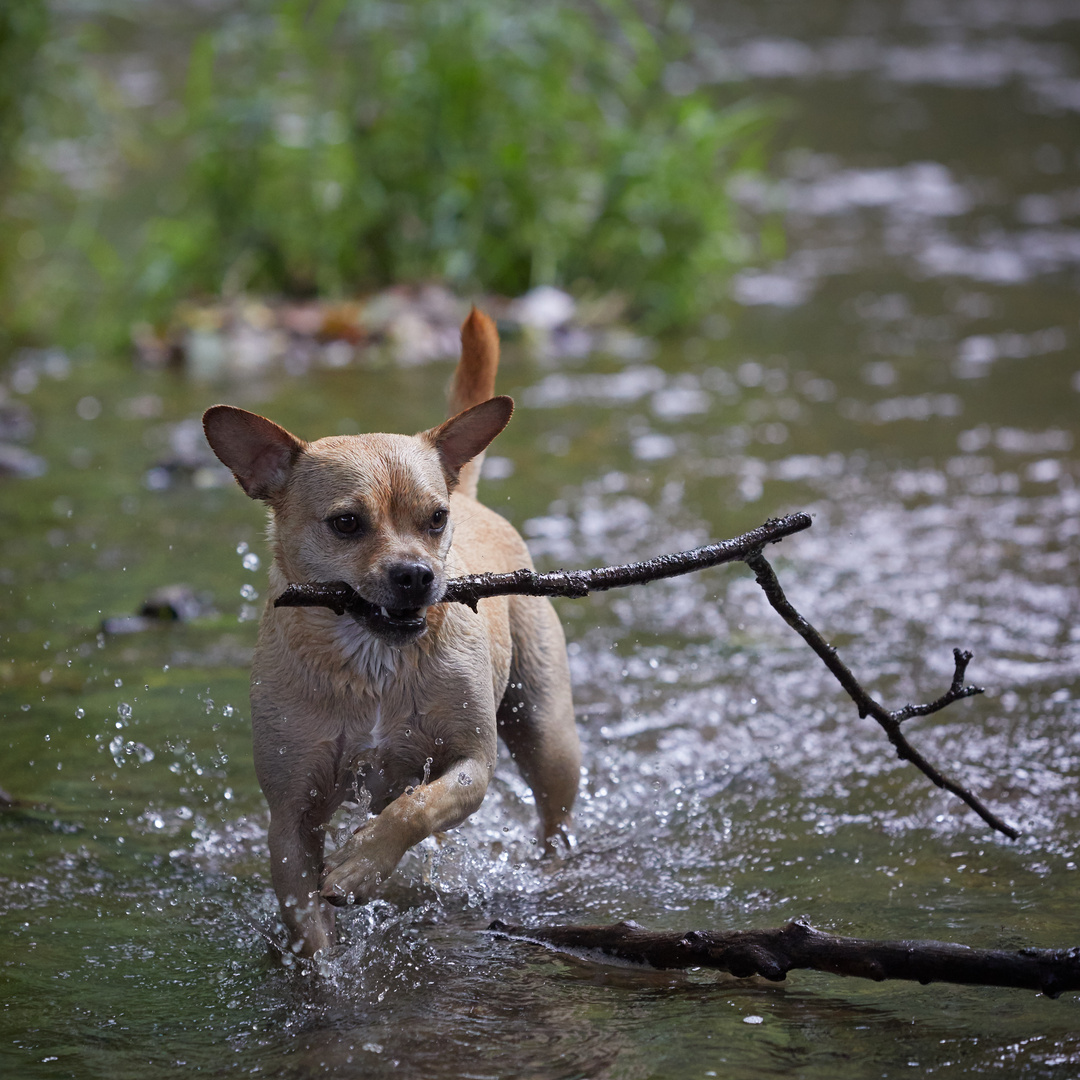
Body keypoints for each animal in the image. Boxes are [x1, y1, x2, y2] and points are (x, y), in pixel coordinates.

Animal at [199, 311, 578, 954]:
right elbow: (309, 923)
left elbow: (415, 807)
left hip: (547, 735)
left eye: (436, 520)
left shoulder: (472, 766)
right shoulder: (290, 817)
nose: (417, 575)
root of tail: (467, 490)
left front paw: (360, 866)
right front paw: (324, 971)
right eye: (346, 524)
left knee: (552, 821)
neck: (373, 659)